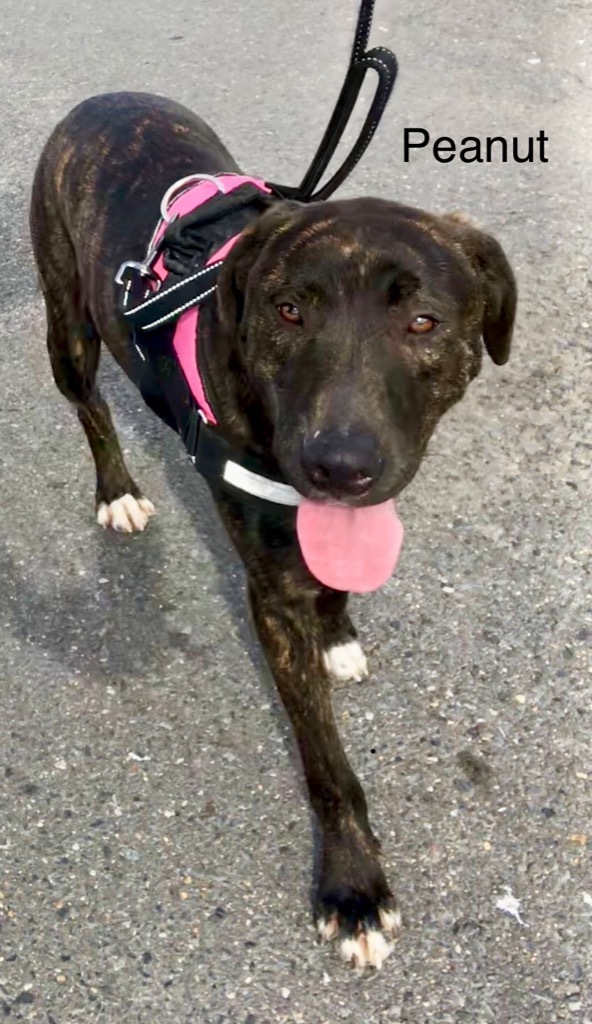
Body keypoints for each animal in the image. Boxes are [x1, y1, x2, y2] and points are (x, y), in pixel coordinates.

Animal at [29, 90, 514, 966]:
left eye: (424, 323)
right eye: (288, 311)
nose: (339, 464)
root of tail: (105, 98)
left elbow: (334, 580)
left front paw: (339, 632)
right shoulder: (270, 594)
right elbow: (325, 760)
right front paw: (354, 886)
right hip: (68, 325)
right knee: (90, 406)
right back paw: (118, 490)